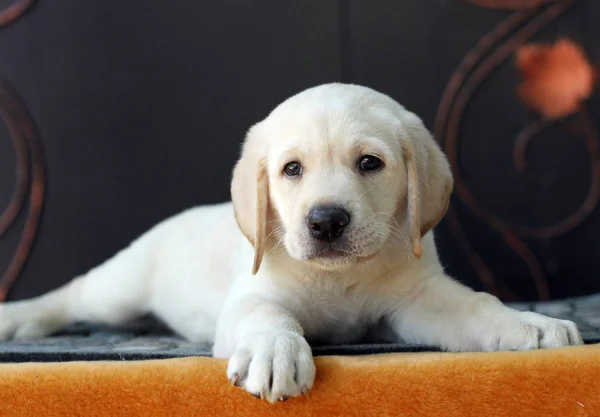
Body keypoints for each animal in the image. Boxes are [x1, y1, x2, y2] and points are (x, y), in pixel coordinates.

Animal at [0, 83, 580, 400]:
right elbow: (267, 316)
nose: (325, 221)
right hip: (119, 290)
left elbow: (476, 305)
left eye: (370, 163)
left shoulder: (417, 299)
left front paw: (527, 323)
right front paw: (275, 351)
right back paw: (19, 317)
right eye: (292, 170)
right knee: (74, 293)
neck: (340, 278)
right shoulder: (251, 297)